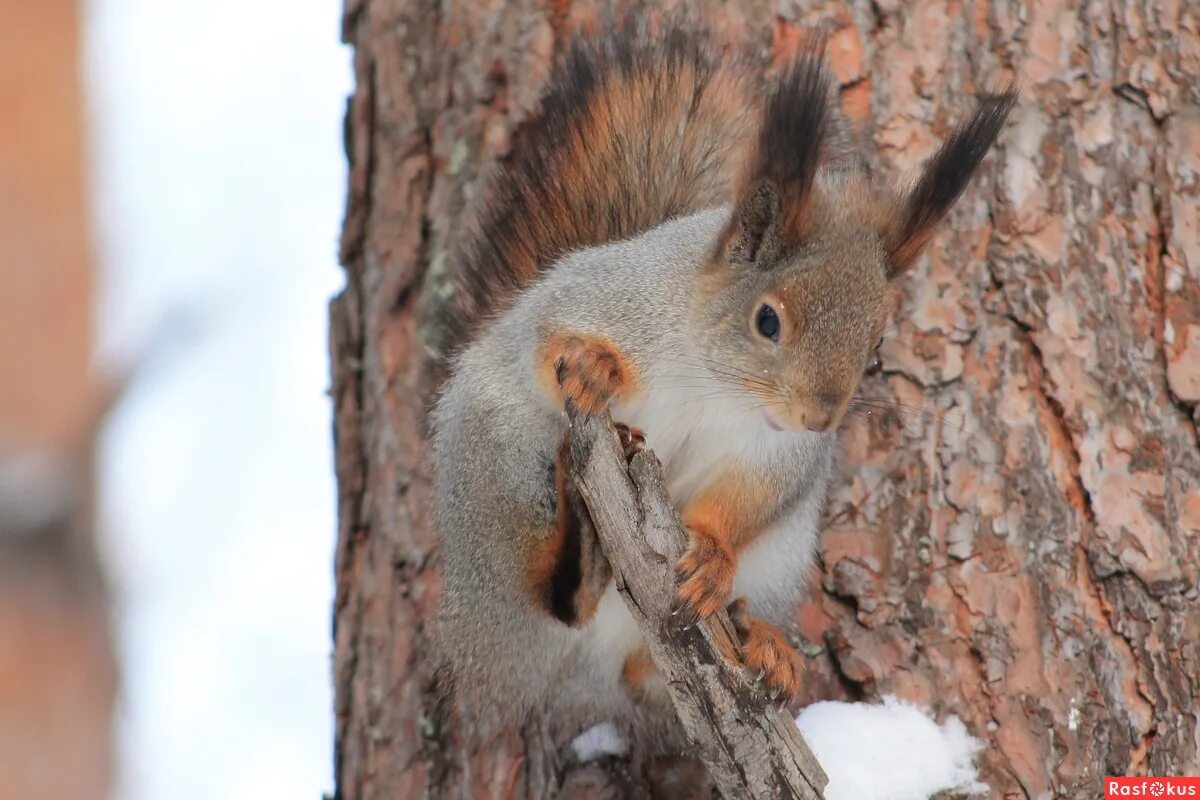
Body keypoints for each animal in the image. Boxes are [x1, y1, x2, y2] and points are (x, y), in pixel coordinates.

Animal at [432, 23, 1012, 738]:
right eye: (768, 320)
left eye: (876, 345)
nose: (819, 418)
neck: (717, 383)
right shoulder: (596, 301)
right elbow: (548, 343)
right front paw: (597, 367)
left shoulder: (776, 453)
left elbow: (747, 496)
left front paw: (710, 553)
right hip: (498, 473)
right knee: (544, 593)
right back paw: (580, 565)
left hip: (778, 559)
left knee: (646, 670)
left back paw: (760, 642)